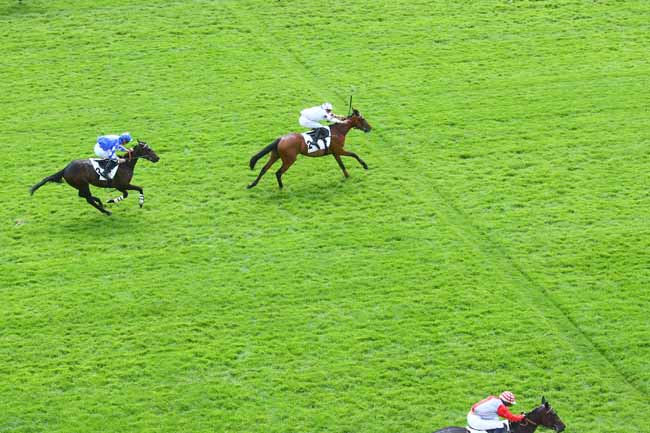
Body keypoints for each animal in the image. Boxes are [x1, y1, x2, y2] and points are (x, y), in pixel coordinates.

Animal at [30, 140, 160, 215]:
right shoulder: (121, 185)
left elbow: (134, 191)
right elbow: (135, 190)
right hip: (82, 184)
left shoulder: (121, 186)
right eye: (148, 149)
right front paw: (139, 203)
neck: (125, 164)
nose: (157, 158)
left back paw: (100, 203)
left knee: (85, 196)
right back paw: (105, 210)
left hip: (81, 185)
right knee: (87, 198)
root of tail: (65, 169)